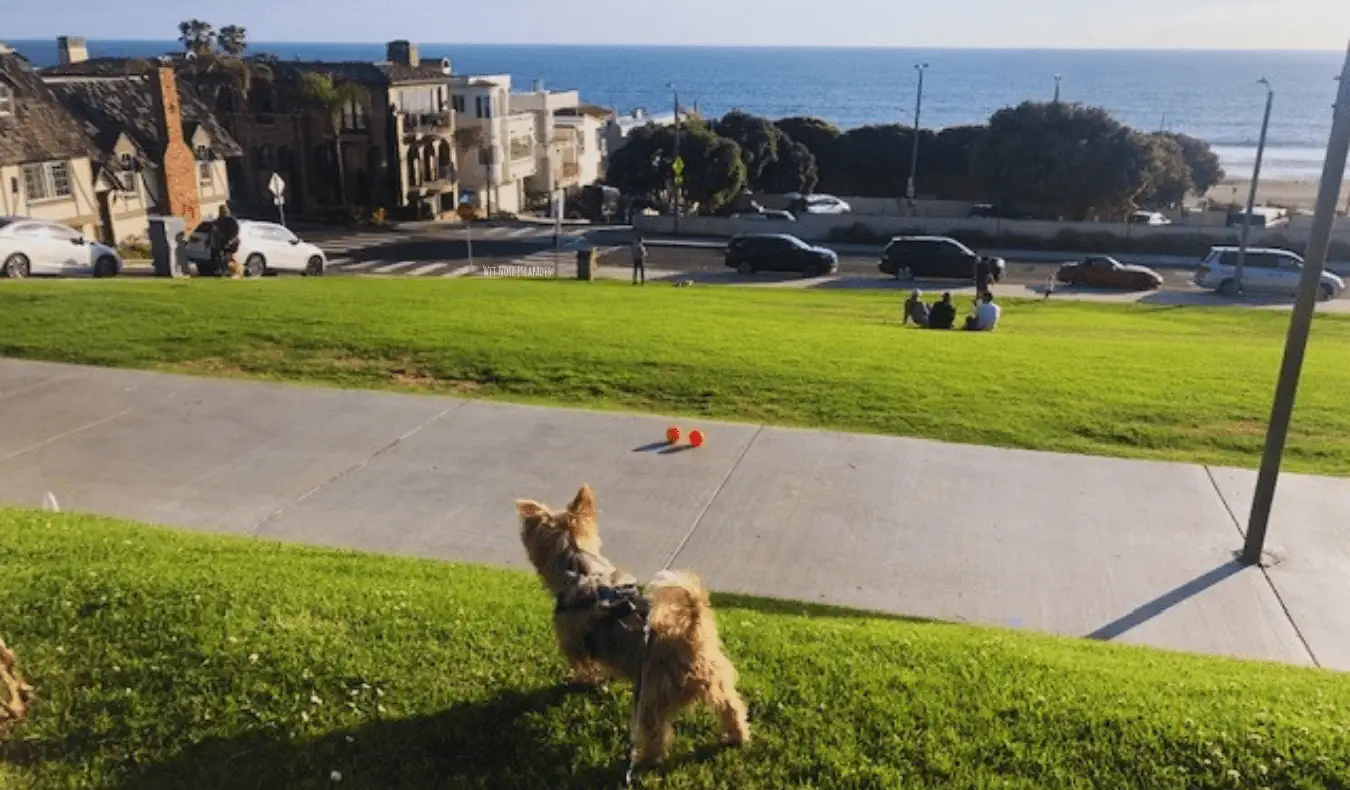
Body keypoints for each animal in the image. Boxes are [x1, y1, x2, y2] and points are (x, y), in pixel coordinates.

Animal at [515, 483, 750, 767]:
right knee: (732, 708)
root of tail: (689, 638)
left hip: (650, 695)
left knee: (657, 734)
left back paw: (643, 758)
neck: (581, 568)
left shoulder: (577, 645)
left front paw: (580, 681)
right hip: (718, 681)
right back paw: (737, 737)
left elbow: (586, 668)